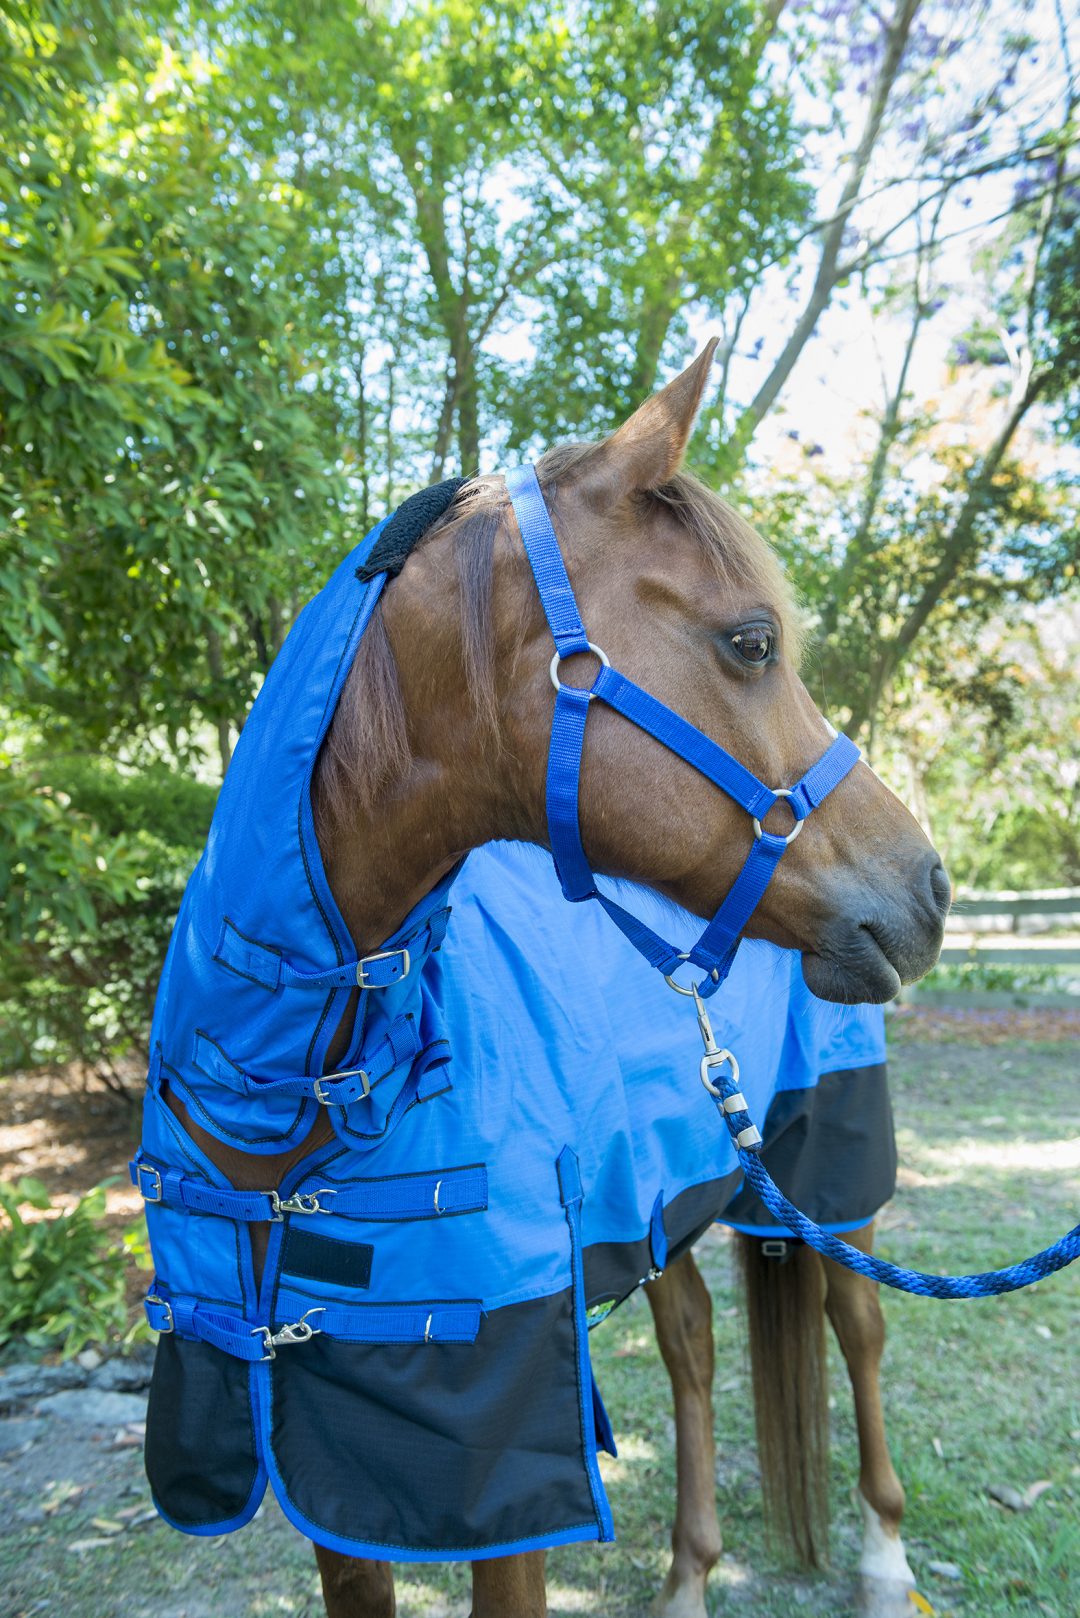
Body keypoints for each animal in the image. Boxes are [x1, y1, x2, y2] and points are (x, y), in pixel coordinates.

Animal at [139, 334, 952, 1611]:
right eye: (751, 640)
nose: (933, 885)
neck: (291, 1095)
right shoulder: (338, 1477)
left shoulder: (499, 1471)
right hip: (666, 1188)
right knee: (694, 1340)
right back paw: (688, 1572)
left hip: (832, 1181)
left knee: (856, 1326)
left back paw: (880, 1556)